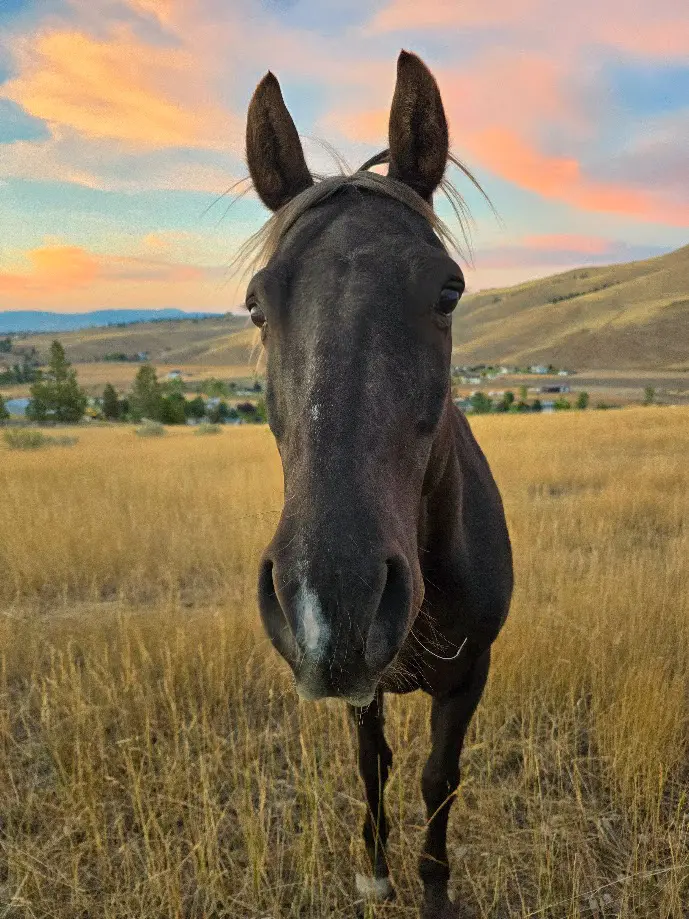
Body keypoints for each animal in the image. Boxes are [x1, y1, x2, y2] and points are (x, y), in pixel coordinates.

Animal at [243, 50, 514, 919]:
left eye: (448, 290)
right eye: (256, 304)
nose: (332, 598)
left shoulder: (469, 673)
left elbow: (437, 777)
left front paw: (433, 889)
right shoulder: (358, 682)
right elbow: (373, 764)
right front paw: (374, 869)